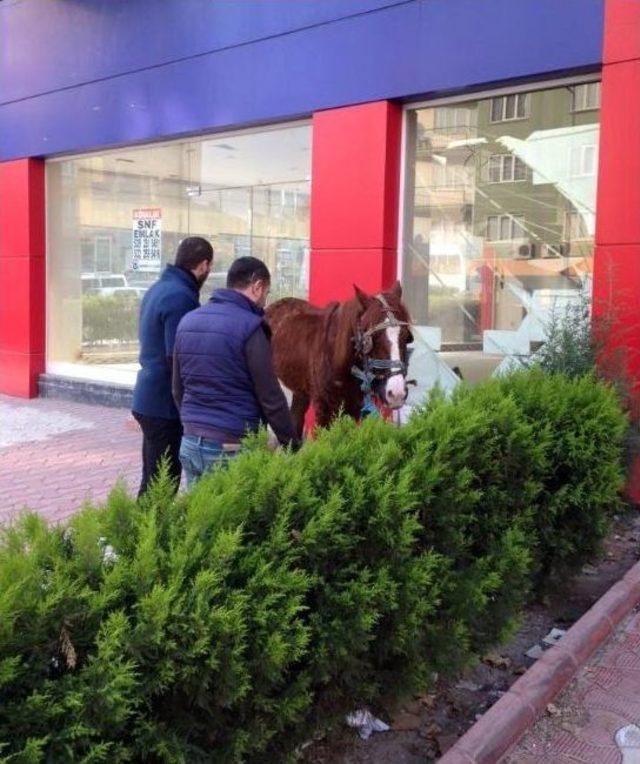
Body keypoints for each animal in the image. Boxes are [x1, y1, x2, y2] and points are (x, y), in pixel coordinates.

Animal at [268, 280, 412, 436]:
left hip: (300, 392)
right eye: (372, 338)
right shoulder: (324, 410)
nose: (397, 393)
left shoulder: (359, 411)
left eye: (406, 336)